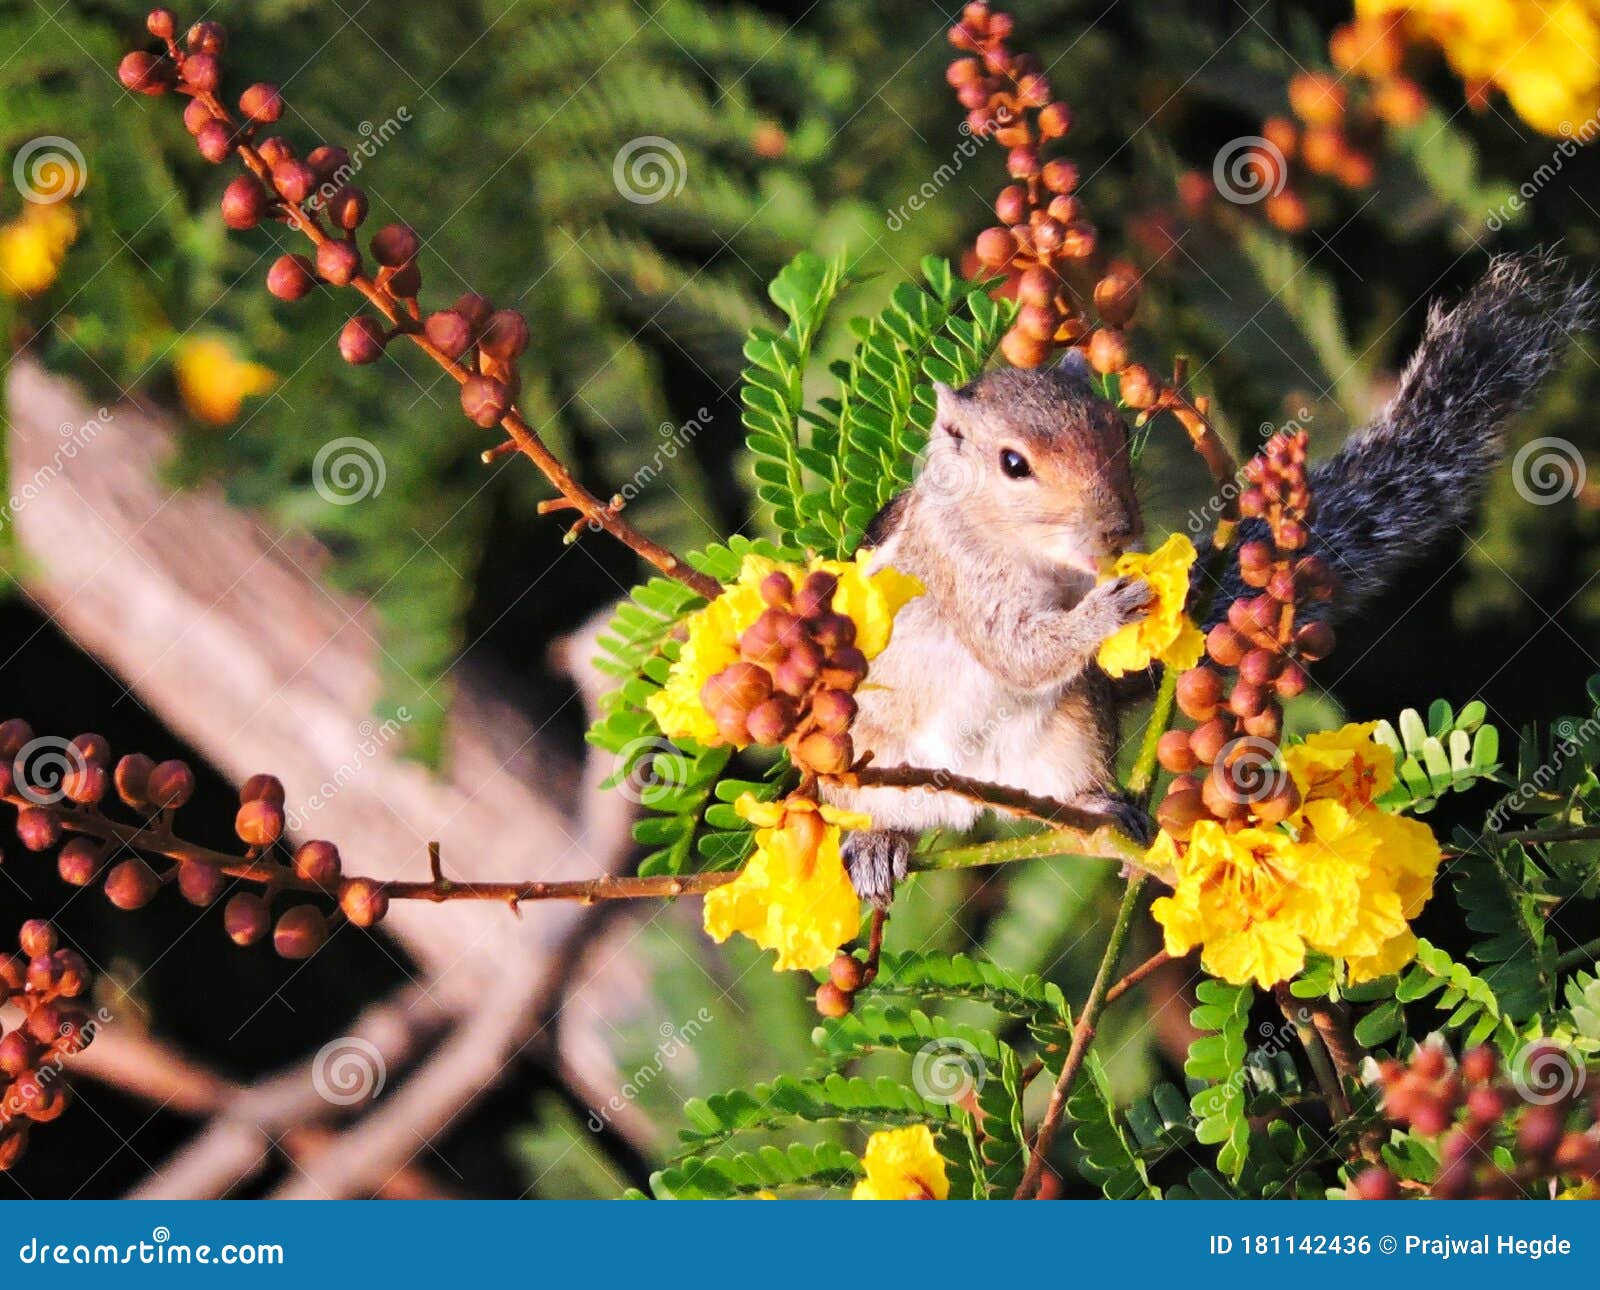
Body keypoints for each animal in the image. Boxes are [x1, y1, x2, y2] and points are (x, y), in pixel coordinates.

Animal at [826, 251, 1594, 906]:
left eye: (1115, 426)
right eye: (1013, 464)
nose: (1117, 533)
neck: (1038, 558)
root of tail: (970, 798)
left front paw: (1175, 586)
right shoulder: (959, 578)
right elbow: (1016, 649)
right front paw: (1113, 607)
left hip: (1070, 734)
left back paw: (1104, 808)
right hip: (862, 765)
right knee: (878, 810)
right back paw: (878, 845)